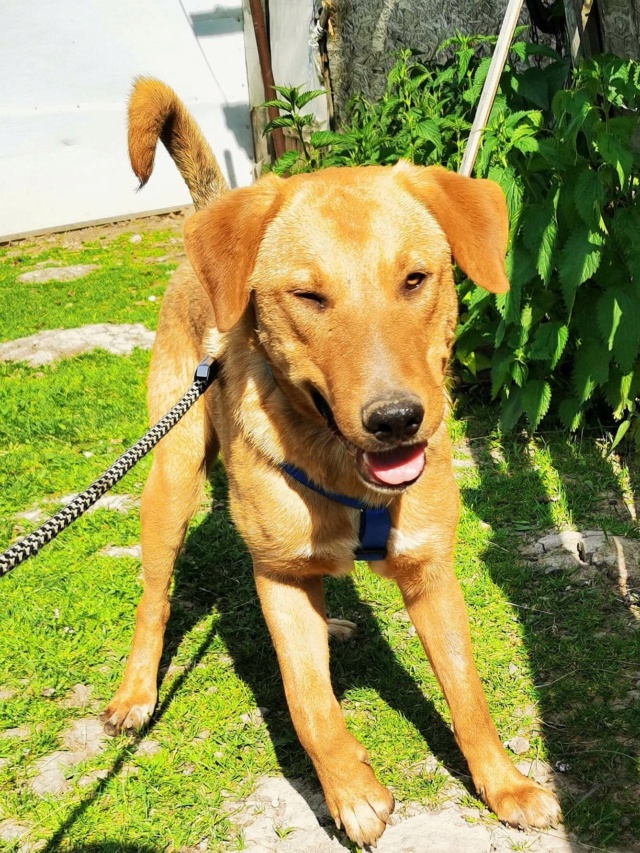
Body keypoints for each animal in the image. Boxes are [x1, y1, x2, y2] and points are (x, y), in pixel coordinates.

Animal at [101, 78, 560, 844]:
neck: (348, 476)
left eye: (415, 279)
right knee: (154, 598)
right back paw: (136, 690)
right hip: (171, 477)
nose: (396, 419)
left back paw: (338, 624)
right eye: (308, 295)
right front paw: (351, 791)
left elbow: (468, 695)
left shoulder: (433, 573)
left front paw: (506, 784)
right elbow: (309, 700)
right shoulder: (280, 578)